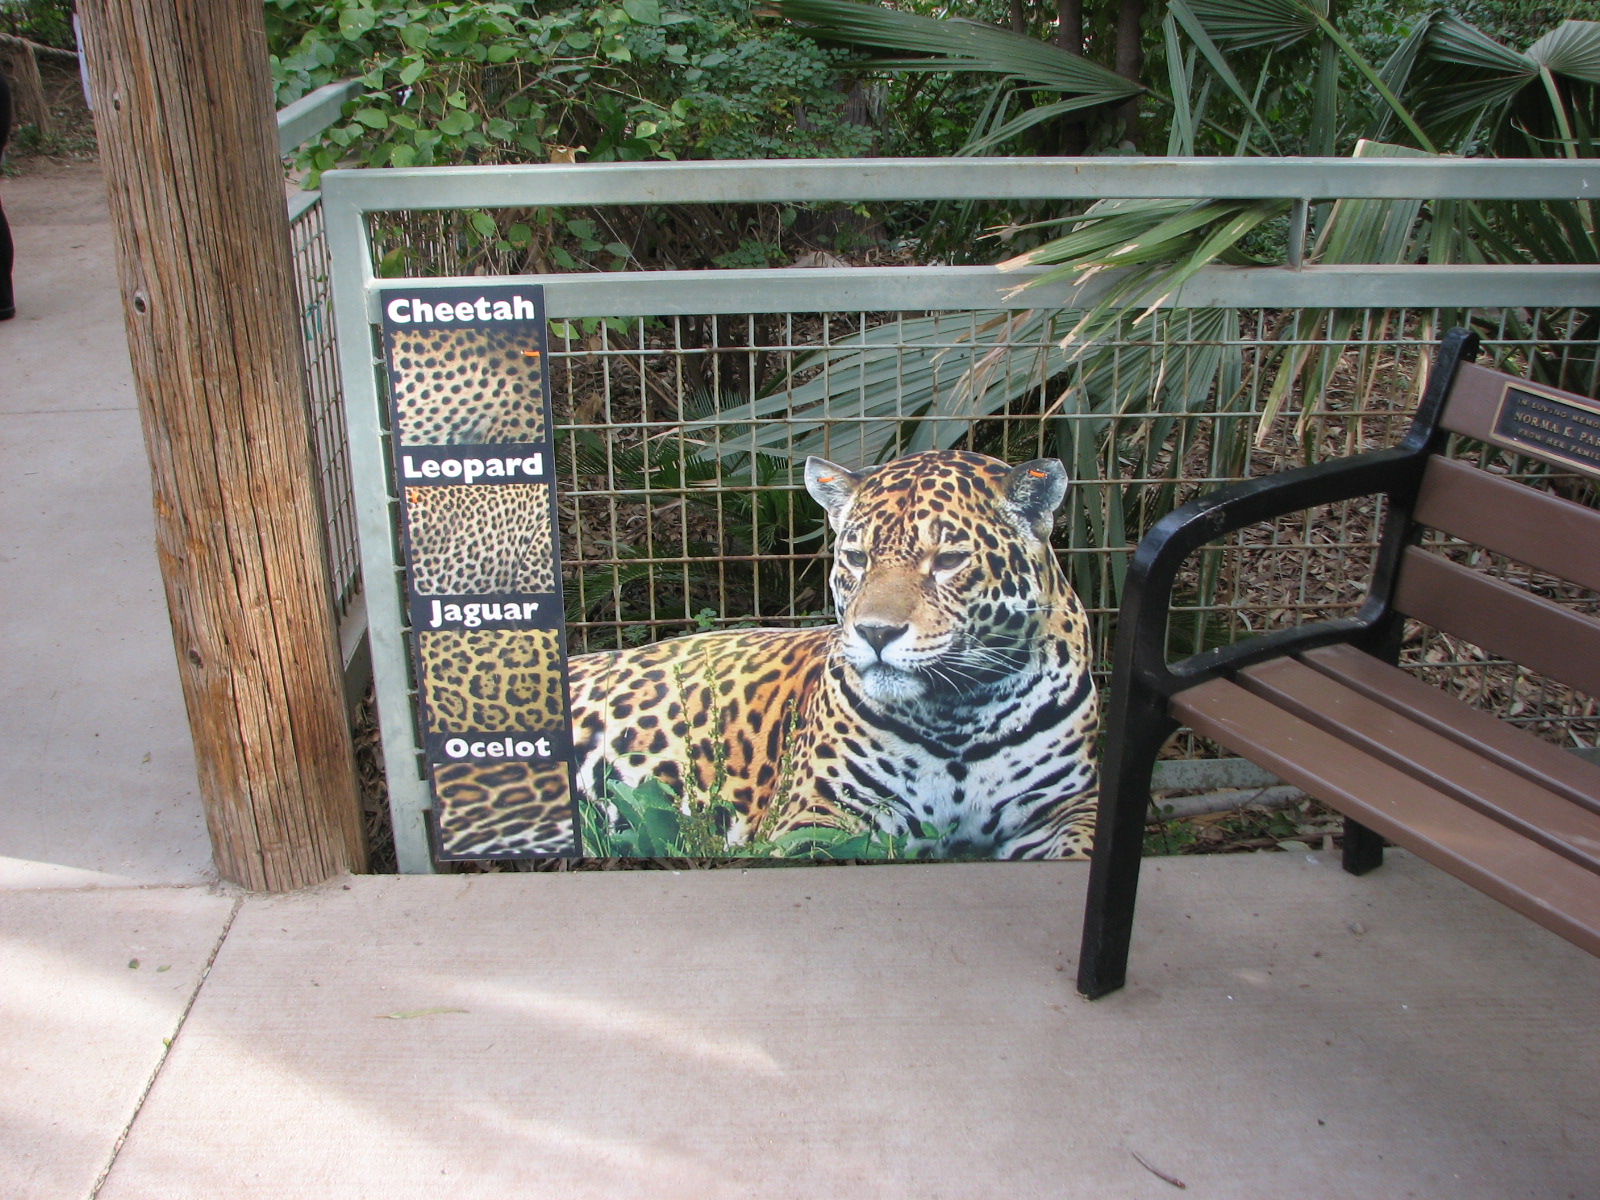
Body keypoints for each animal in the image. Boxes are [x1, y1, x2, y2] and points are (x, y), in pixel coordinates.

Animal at [566, 449, 1100, 860]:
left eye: (949, 560)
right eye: (858, 558)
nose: (875, 633)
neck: (959, 718)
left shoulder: (1071, 805)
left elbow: (1081, 848)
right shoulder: (817, 814)